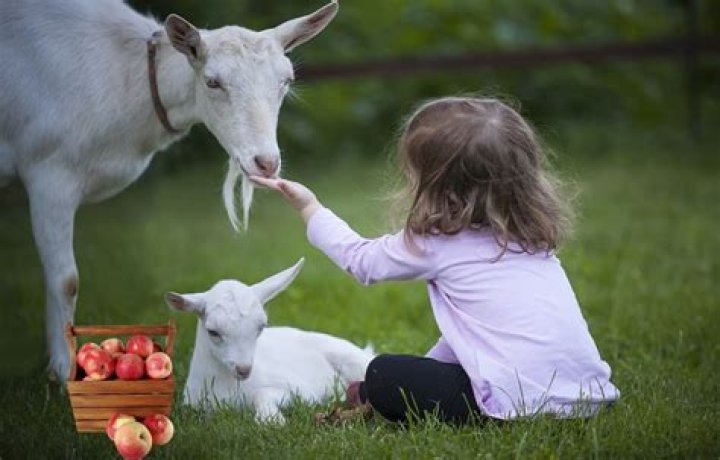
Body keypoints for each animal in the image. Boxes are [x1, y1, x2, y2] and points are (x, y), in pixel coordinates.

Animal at [0, 0, 338, 381]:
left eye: (287, 80)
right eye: (212, 82)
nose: (266, 163)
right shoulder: (49, 171)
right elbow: (65, 280)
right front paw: (62, 369)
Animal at [165, 259, 374, 423]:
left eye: (261, 327)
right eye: (213, 332)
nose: (244, 369)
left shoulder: (304, 392)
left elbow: (263, 393)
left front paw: (271, 420)